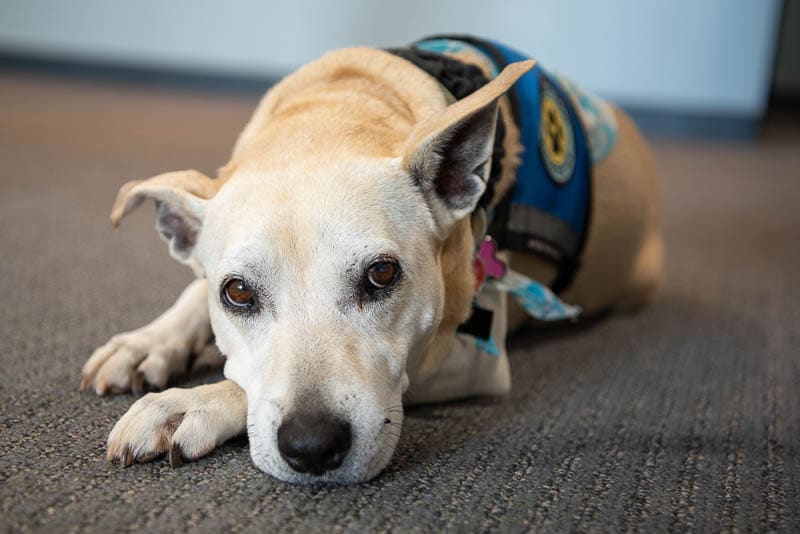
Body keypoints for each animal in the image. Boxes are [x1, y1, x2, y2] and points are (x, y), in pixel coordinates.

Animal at [79, 42, 664, 486]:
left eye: (382, 274)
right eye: (238, 292)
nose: (312, 446)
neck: (335, 112)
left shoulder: (472, 357)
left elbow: (245, 385)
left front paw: (186, 404)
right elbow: (193, 297)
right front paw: (147, 343)